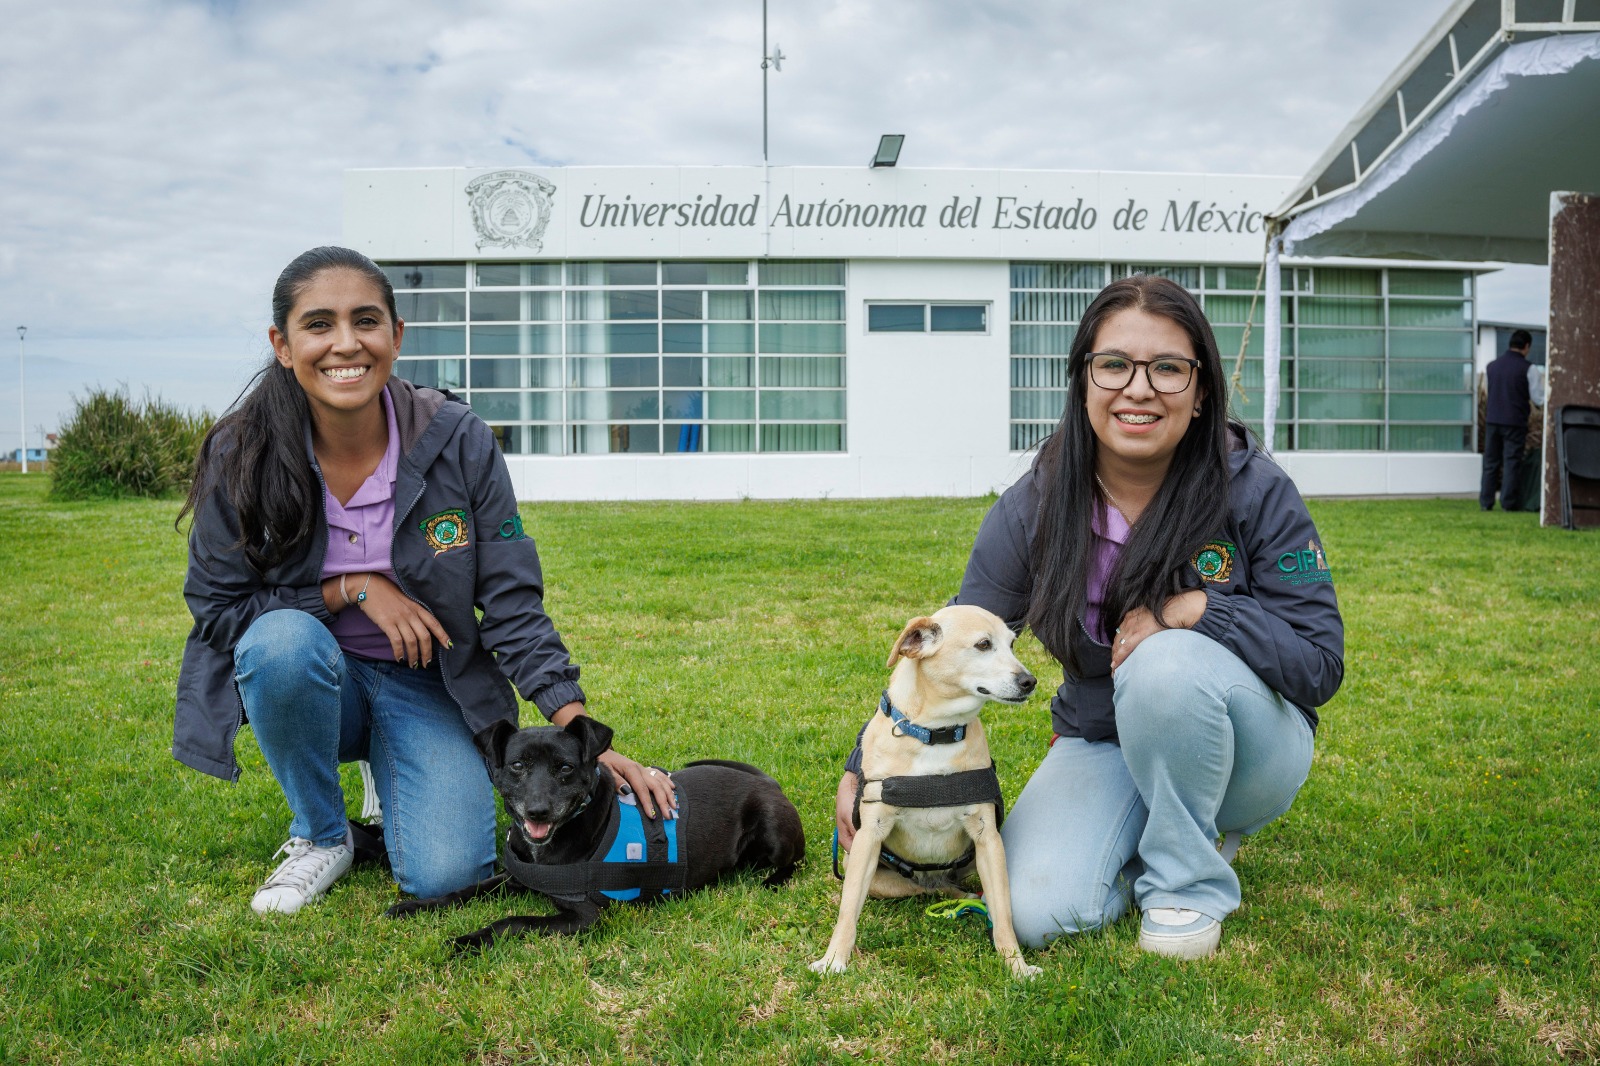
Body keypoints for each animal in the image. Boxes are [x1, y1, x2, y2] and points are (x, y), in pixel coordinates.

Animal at [385, 713, 806, 947]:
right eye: (518, 765)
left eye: (565, 768)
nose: (537, 810)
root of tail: (768, 782)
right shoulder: (516, 876)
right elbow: (464, 890)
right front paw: (415, 907)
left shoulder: (584, 917)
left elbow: (514, 921)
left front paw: (467, 940)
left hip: (772, 829)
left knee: (795, 861)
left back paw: (771, 879)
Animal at [806, 601, 1043, 973]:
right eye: (983, 645)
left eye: (1012, 644)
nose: (1029, 681)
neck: (935, 734)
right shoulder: (868, 837)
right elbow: (847, 911)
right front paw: (834, 960)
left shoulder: (988, 839)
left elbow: (1003, 914)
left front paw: (1016, 966)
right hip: (877, 876)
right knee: (921, 892)